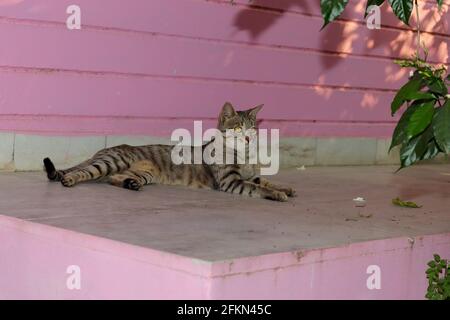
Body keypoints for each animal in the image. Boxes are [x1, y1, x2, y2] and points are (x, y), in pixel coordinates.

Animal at [43, 102, 296, 201]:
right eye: (236, 128)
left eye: (252, 128)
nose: (248, 137)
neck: (244, 155)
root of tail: (102, 150)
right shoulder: (231, 181)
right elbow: (258, 188)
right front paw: (278, 194)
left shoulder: (250, 175)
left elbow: (266, 181)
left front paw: (285, 188)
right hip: (111, 162)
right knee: (82, 172)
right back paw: (69, 179)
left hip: (143, 172)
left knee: (114, 179)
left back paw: (130, 185)